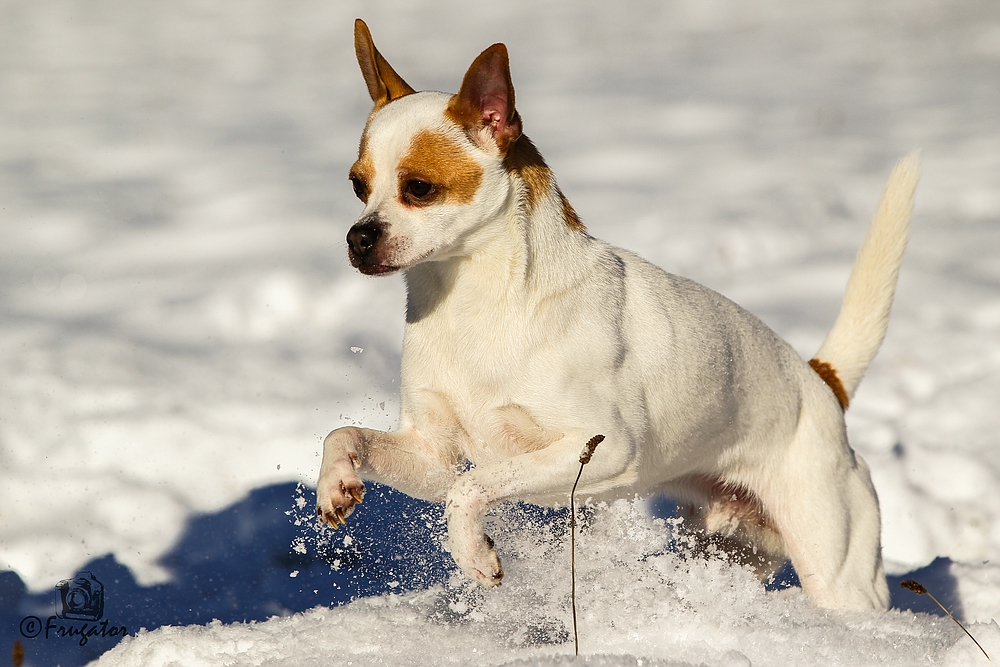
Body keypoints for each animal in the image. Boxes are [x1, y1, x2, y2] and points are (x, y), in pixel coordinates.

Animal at [316, 18, 916, 612]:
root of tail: (821, 381)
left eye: (419, 188)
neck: (471, 304)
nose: (357, 237)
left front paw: (474, 555)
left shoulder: (599, 449)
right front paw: (334, 485)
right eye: (357, 185)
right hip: (729, 548)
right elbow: (344, 436)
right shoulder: (432, 456)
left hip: (835, 569)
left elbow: (470, 489)